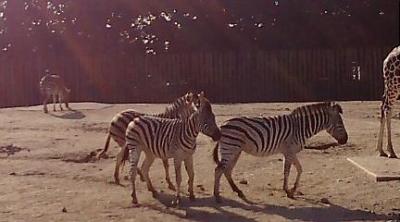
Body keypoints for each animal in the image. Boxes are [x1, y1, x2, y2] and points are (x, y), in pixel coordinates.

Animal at [212, 102, 346, 203]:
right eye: (340, 123)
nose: (345, 140)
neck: (300, 127)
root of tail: (223, 125)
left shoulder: (291, 152)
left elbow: (299, 169)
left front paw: (293, 190)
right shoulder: (289, 151)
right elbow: (287, 171)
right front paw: (287, 191)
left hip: (236, 150)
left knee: (227, 170)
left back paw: (239, 192)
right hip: (231, 148)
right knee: (219, 170)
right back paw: (217, 196)